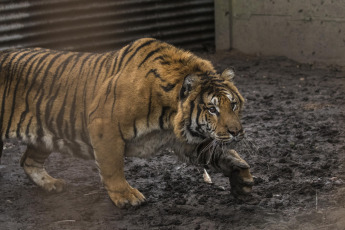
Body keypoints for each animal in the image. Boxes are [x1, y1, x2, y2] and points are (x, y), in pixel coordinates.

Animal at [0, 38, 253, 208]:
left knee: (27, 161)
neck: (169, 118)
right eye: (212, 109)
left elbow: (221, 155)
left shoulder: (186, 142)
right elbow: (113, 167)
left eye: (233, 105)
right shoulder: (104, 127)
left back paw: (51, 184)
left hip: (43, 135)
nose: (236, 132)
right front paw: (126, 196)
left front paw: (241, 176)